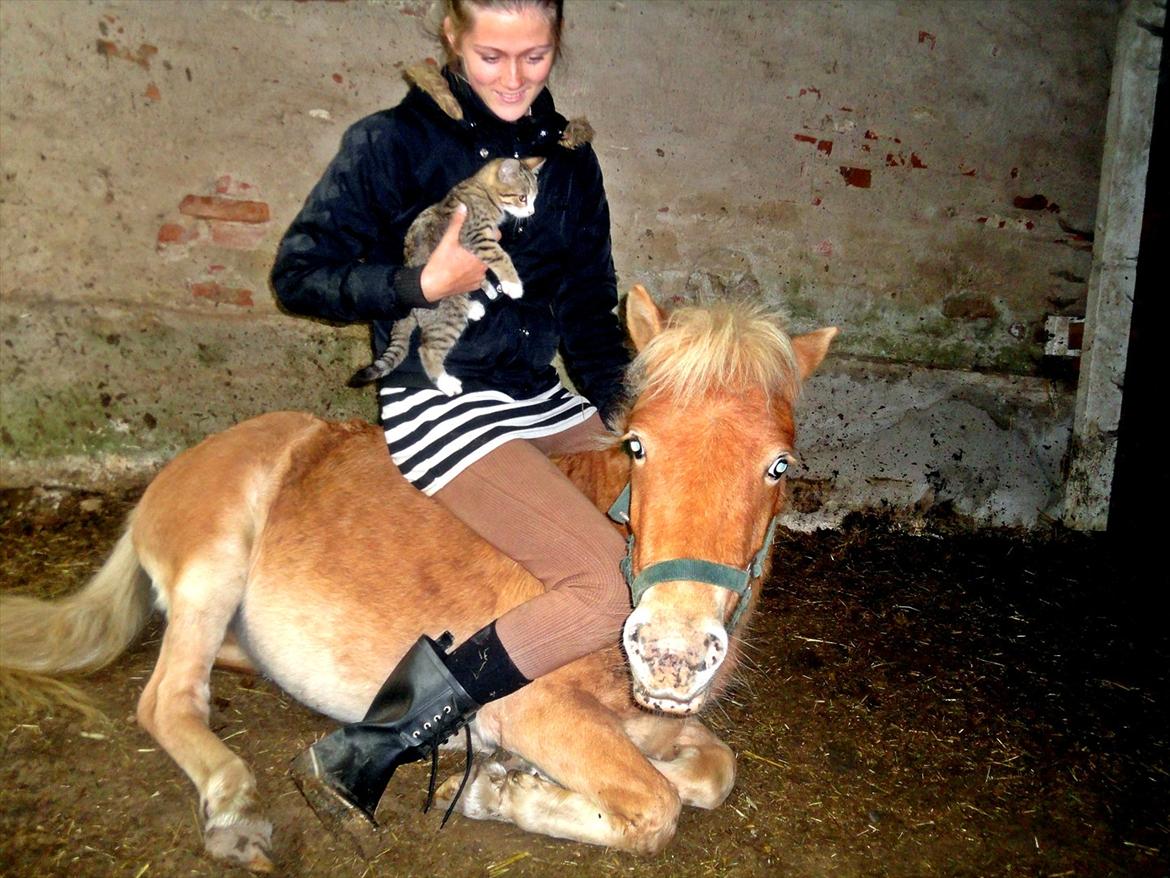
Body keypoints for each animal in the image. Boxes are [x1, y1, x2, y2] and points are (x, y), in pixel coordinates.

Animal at [4, 289, 837, 875]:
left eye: (779, 466)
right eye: (637, 445)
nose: (671, 655)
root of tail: (172, 472)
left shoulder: (657, 724)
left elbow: (714, 772)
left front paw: (510, 784)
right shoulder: (536, 710)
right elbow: (656, 804)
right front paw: (495, 789)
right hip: (215, 564)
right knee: (170, 699)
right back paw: (237, 811)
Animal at [346, 156, 542, 393]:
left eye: (534, 198)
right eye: (523, 198)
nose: (532, 212)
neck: (481, 189)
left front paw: (489, 287)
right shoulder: (476, 237)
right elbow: (500, 256)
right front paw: (513, 284)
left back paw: (472, 307)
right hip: (448, 317)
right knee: (427, 349)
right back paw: (445, 381)